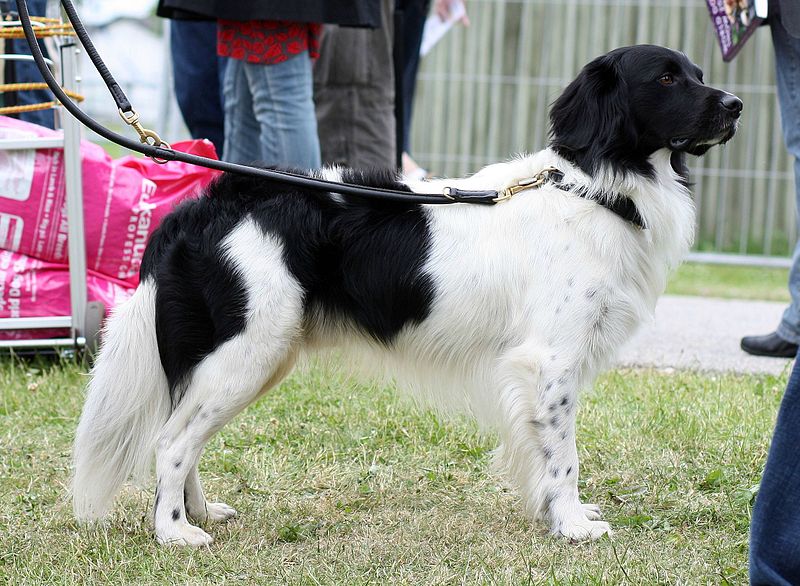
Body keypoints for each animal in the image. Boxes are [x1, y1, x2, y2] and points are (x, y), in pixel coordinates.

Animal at [73, 45, 744, 544]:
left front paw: (551, 516)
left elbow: (539, 454)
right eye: (665, 77)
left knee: (185, 438)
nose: (736, 104)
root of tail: (204, 206)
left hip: (248, 359)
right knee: (170, 441)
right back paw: (174, 532)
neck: (594, 185)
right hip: (245, 354)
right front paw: (573, 525)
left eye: (698, 74)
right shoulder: (550, 363)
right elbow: (563, 455)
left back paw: (198, 512)